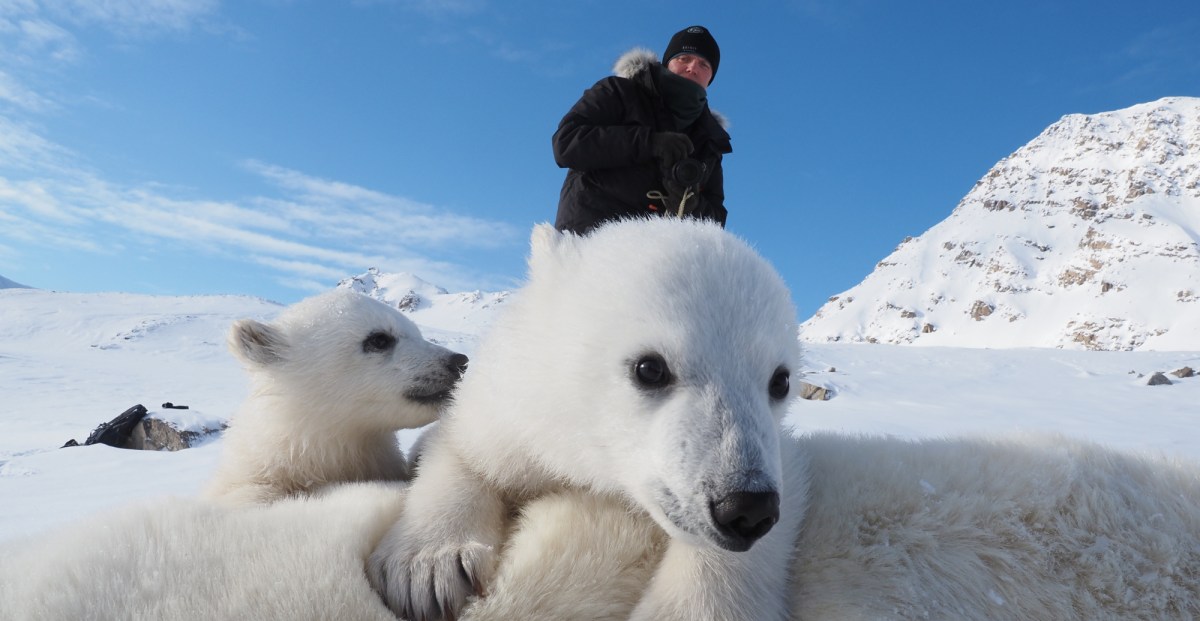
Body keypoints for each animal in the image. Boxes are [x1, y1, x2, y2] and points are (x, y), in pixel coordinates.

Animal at [367, 217, 809, 621]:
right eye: (650, 368)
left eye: (781, 380)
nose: (745, 506)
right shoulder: (515, 413)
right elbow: (461, 449)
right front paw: (428, 568)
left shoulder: (779, 452)